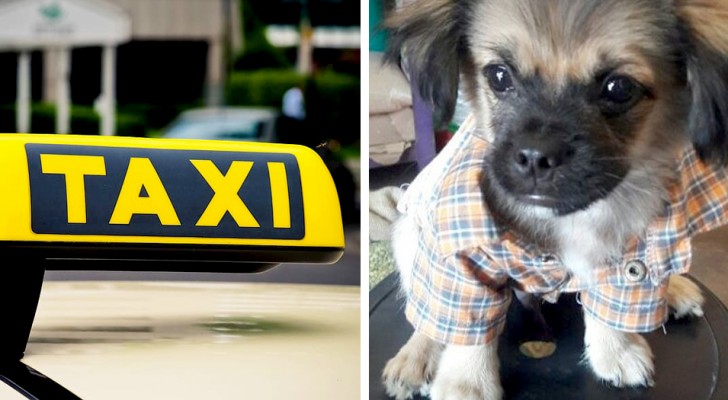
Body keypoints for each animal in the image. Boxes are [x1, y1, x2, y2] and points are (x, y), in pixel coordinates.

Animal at [378, 0, 728, 400]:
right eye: (499, 76)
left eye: (619, 87)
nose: (535, 156)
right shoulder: (459, 249)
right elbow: (466, 324)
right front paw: (466, 383)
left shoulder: (631, 243)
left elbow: (617, 298)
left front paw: (616, 351)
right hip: (410, 233)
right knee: (427, 310)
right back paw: (416, 357)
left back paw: (675, 290)